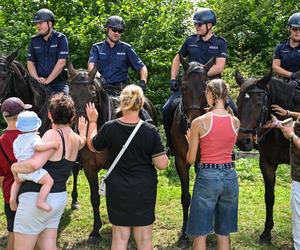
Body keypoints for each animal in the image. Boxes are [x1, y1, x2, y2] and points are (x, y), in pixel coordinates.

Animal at [236, 71, 300, 244]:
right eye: (238, 103)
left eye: (259, 103)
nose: (243, 142)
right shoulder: (267, 163)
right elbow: (269, 197)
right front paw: (266, 233)